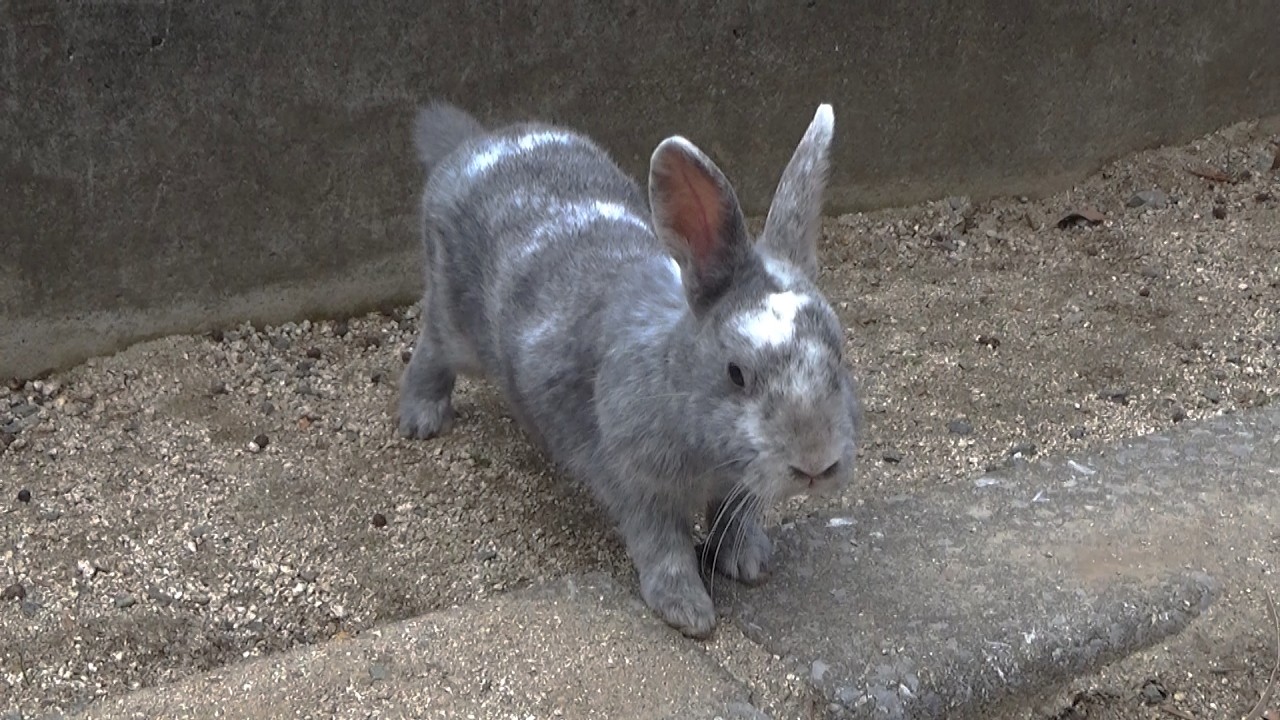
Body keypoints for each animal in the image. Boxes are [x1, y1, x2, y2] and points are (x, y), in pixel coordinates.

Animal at [398, 99, 862, 638]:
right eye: (736, 373)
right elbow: (663, 547)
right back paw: (421, 419)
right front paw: (687, 611)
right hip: (454, 323)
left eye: (840, 352)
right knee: (431, 349)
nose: (816, 464)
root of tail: (473, 146)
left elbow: (735, 518)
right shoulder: (639, 485)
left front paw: (750, 562)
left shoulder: (737, 486)